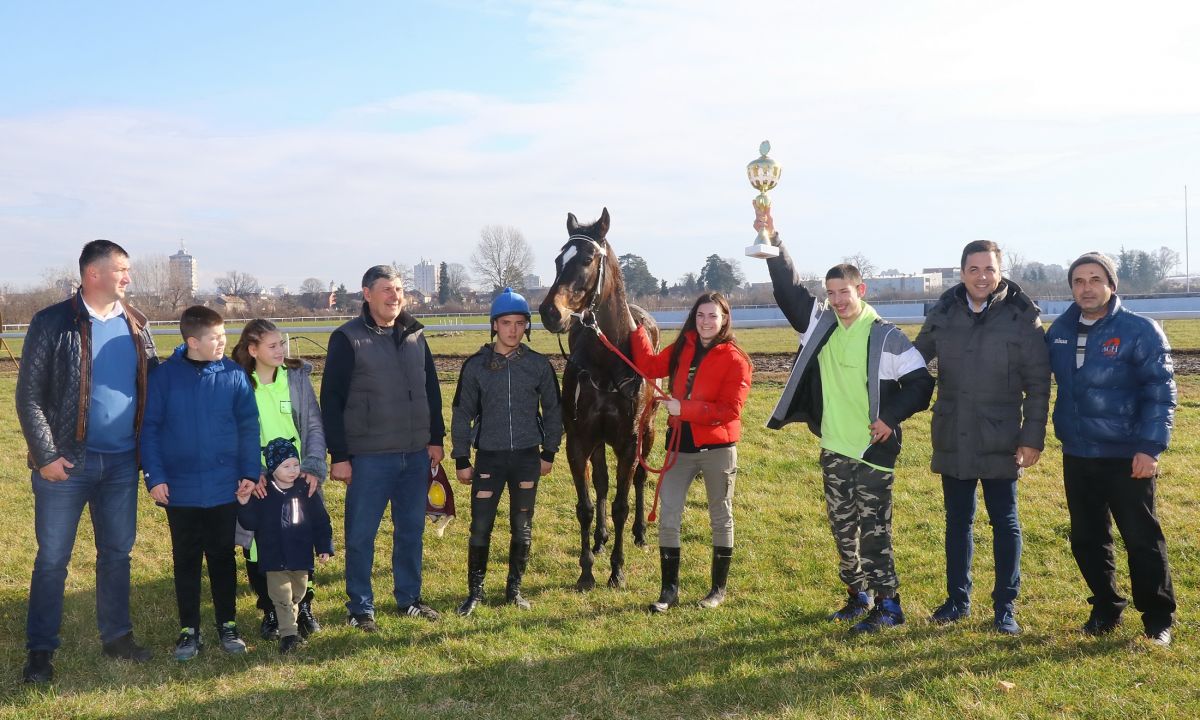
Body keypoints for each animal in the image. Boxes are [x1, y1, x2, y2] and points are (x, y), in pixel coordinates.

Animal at [540, 207, 662, 590]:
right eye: (557, 259)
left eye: (588, 259)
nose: (550, 311)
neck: (608, 361)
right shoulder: (580, 439)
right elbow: (587, 503)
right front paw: (587, 571)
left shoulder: (629, 441)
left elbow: (623, 502)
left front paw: (617, 570)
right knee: (602, 483)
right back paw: (600, 537)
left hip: (650, 431)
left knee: (639, 480)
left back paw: (638, 533)